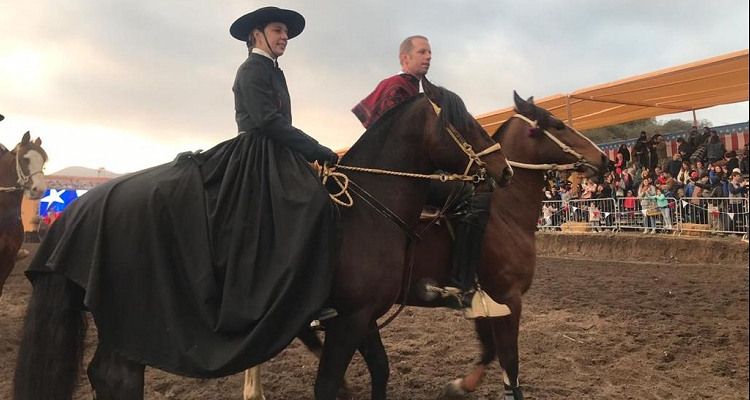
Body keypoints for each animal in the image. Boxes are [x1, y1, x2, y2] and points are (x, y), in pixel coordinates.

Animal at [11, 78, 516, 400]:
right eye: (465, 122)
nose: (504, 170)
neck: (371, 206)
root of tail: (78, 211)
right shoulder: (349, 319)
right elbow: (328, 385)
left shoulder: (363, 315)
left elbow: (380, 371)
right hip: (134, 320)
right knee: (117, 377)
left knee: (107, 376)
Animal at [244, 90, 608, 400]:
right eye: (558, 124)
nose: (602, 158)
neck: (505, 212)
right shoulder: (509, 298)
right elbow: (509, 363)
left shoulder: (486, 302)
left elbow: (488, 350)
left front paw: (461, 385)